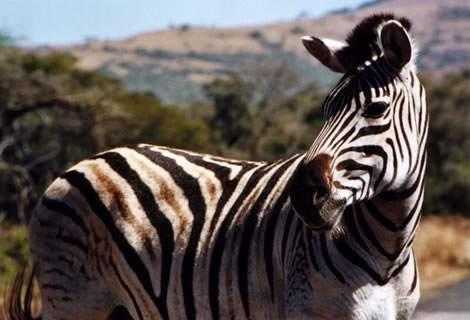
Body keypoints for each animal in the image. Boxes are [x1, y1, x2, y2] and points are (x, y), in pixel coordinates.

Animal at [8, 13, 426, 320]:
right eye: (325, 111)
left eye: (376, 109)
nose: (303, 196)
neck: (388, 249)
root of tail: (80, 165)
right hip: (74, 300)